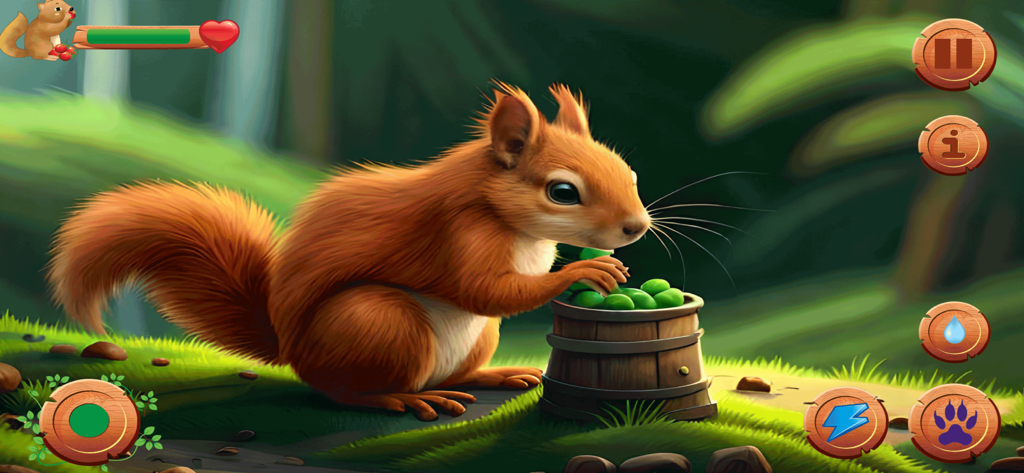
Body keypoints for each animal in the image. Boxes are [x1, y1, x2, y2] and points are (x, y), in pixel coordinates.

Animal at [47, 82, 649, 421]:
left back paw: (490, 377)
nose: (636, 227)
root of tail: (294, 350)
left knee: (449, 374)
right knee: (344, 393)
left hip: (477, 337)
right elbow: (484, 289)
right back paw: (398, 401)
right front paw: (590, 271)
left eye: (630, 172)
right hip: (377, 322)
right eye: (563, 192)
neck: (510, 218)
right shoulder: (460, 233)